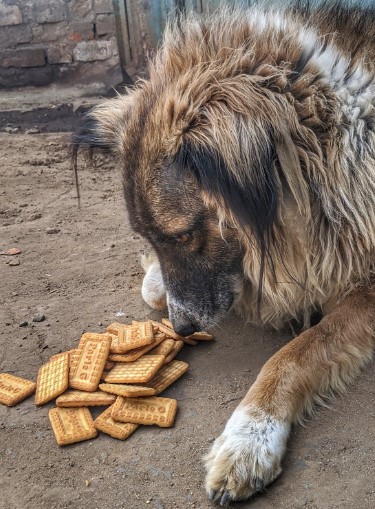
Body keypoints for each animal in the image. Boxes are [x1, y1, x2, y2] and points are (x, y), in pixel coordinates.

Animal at [73, 3, 375, 504]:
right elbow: (159, 288)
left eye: (183, 236)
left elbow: (293, 354)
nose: (180, 328)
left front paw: (248, 439)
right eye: (149, 238)